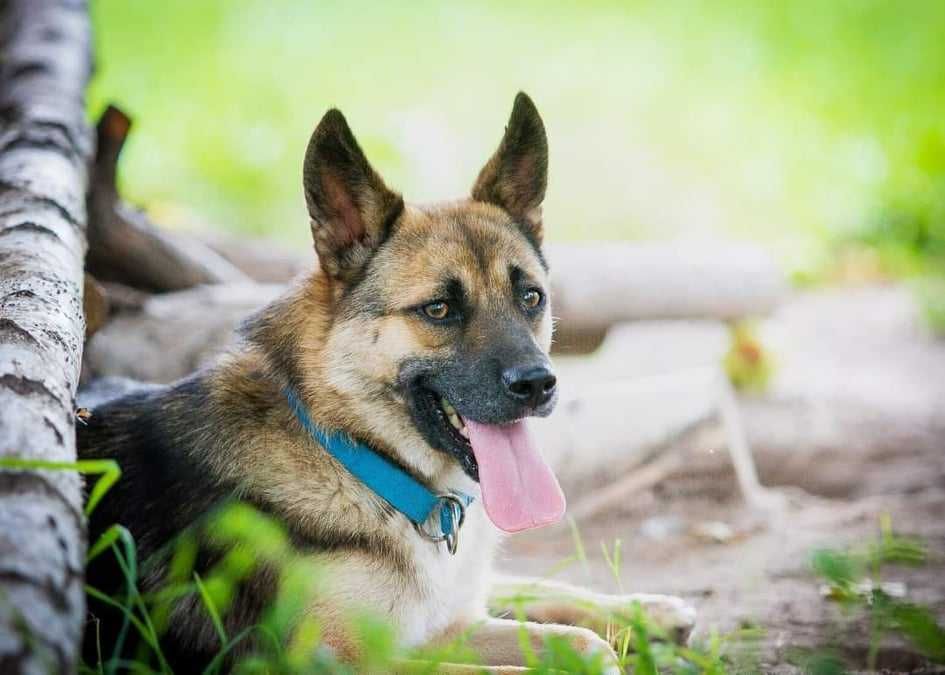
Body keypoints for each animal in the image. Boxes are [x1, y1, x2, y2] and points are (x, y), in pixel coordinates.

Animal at [79, 92, 692, 672]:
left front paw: (635, 615)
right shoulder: (340, 660)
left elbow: (569, 632)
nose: (540, 385)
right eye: (439, 309)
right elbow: (565, 653)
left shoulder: (445, 623)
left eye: (531, 298)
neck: (355, 456)